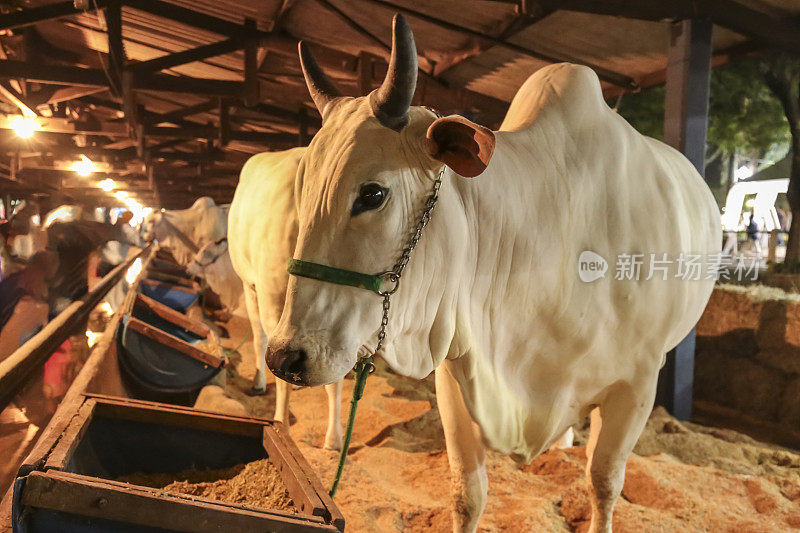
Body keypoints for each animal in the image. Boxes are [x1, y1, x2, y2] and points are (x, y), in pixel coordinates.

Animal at [268, 14, 720, 528]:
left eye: (373, 194)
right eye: (300, 190)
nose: (284, 356)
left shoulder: (637, 386)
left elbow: (604, 483)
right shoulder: (458, 371)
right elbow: (468, 493)